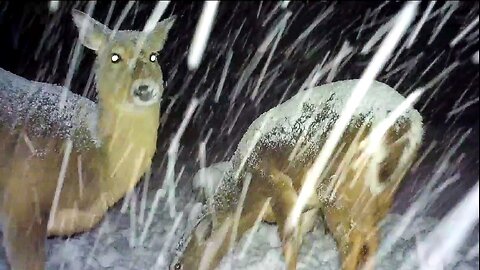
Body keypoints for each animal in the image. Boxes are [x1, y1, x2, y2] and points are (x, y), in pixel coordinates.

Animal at [170, 80, 424, 270]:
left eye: (177, 266)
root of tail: (412, 126)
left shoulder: (278, 186)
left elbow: (289, 240)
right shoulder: (308, 206)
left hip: (340, 187)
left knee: (352, 240)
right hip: (381, 193)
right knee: (371, 237)